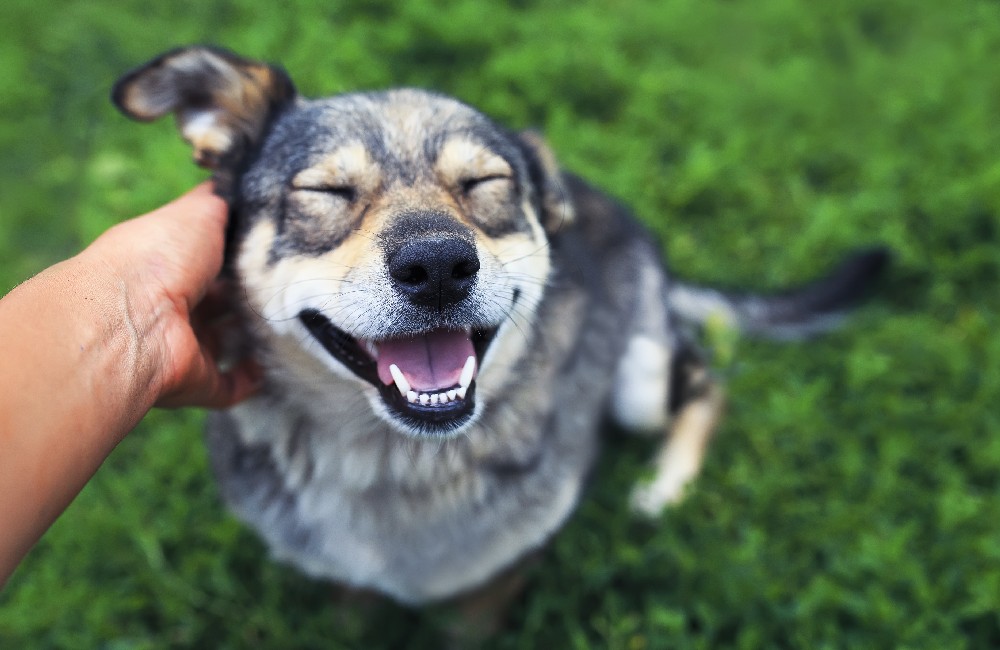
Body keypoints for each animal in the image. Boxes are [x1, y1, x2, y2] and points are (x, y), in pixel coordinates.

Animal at [111, 48, 892, 616]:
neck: (394, 464)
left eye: (485, 184)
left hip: (640, 374)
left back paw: (664, 487)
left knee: (706, 382)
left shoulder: (495, 581)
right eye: (325, 191)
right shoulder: (346, 579)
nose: (437, 266)